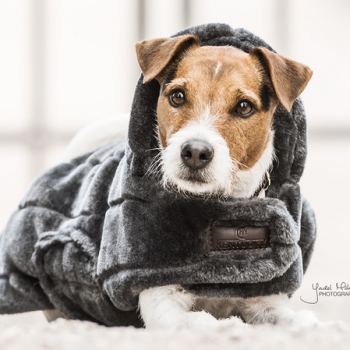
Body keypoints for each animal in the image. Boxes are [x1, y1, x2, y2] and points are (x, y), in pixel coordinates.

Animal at [56, 32, 314, 328]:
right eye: (177, 96)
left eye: (244, 107)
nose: (196, 152)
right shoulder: (162, 299)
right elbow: (203, 322)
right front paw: (230, 326)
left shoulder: (266, 299)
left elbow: (300, 321)